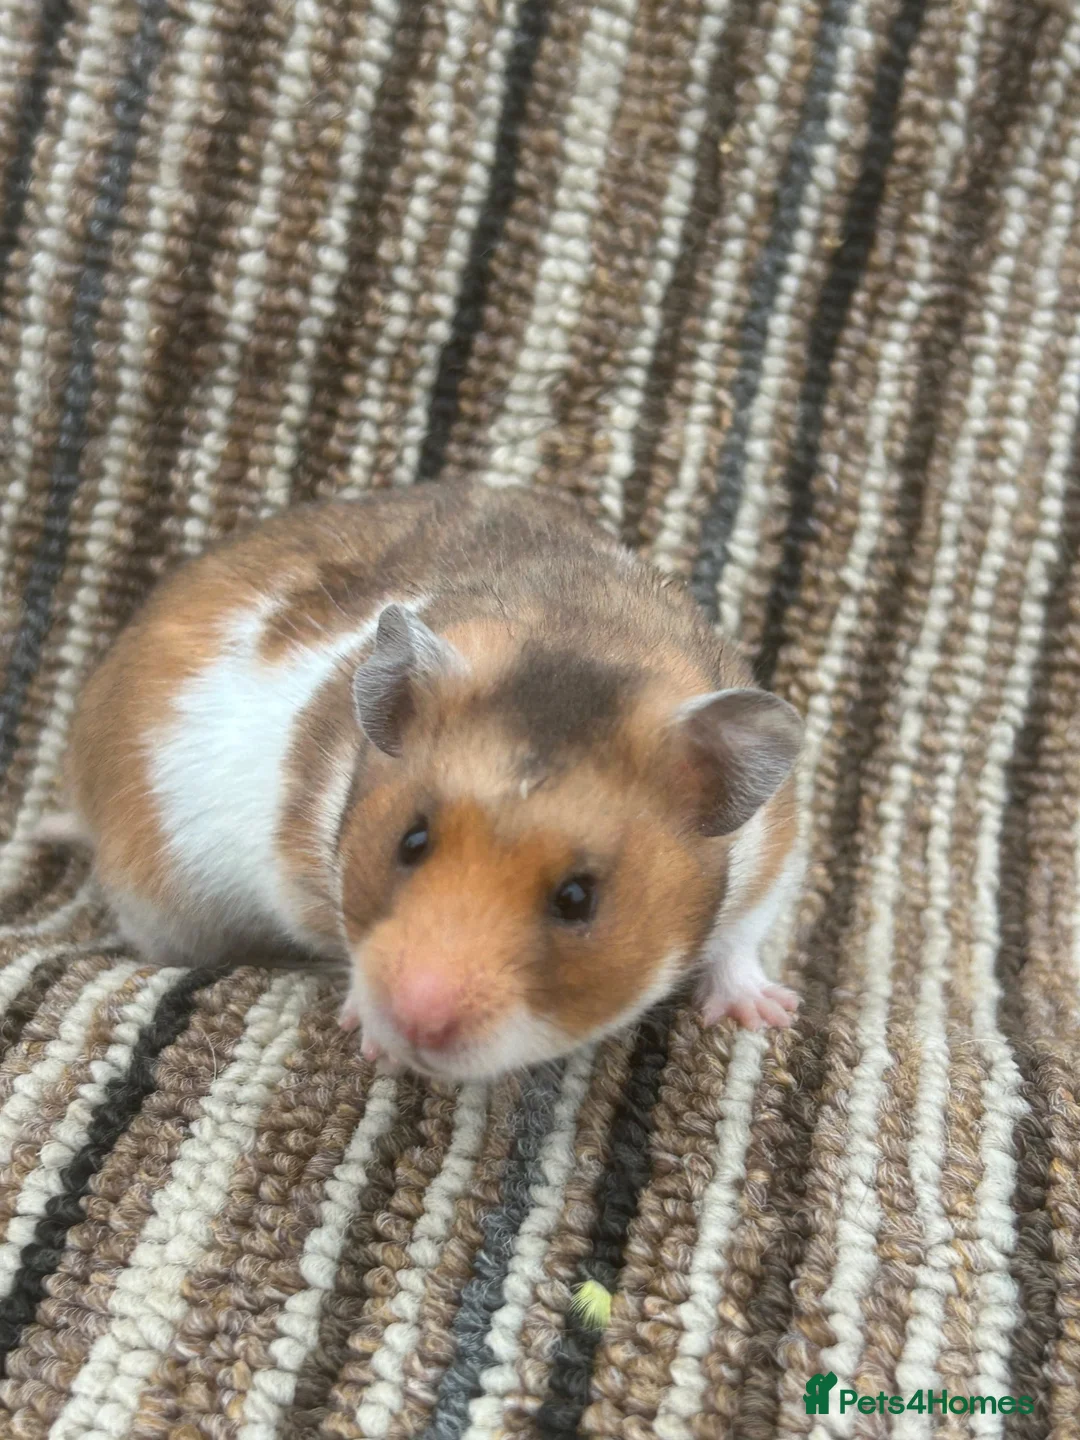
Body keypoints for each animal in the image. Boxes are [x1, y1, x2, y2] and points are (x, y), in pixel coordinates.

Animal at [48, 482, 804, 1081]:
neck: (584, 633)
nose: (414, 1021)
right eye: (409, 843)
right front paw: (369, 1039)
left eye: (578, 899)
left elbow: (739, 942)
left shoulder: (772, 854)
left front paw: (770, 1015)